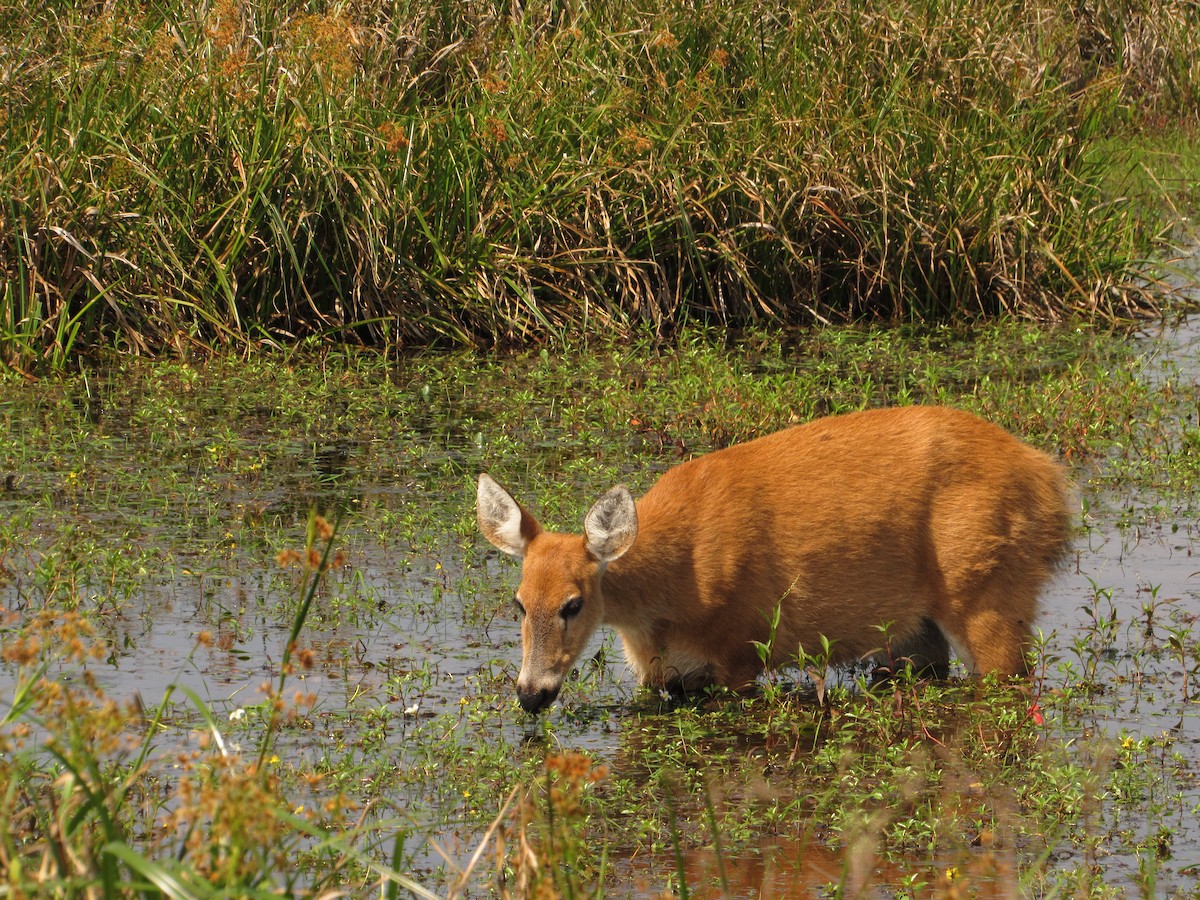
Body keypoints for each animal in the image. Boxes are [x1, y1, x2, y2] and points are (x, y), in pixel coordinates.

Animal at [476, 405, 1073, 713]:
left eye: (573, 605)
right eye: (519, 603)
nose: (530, 695)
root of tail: (1051, 481)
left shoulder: (742, 652)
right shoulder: (665, 676)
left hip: (989, 590)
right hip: (914, 632)